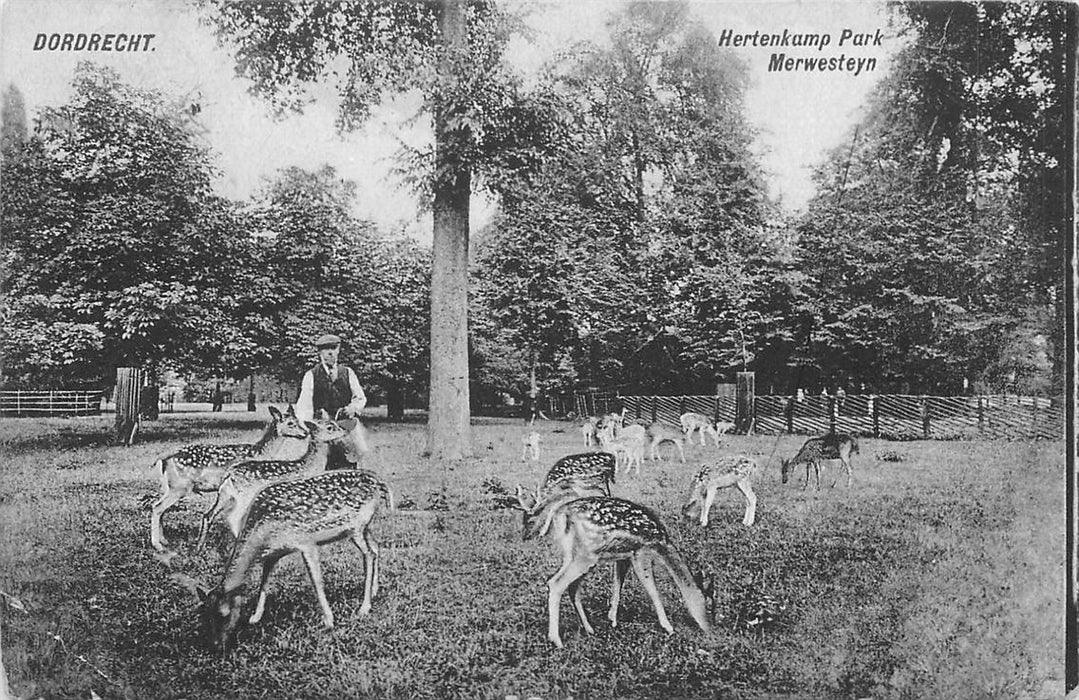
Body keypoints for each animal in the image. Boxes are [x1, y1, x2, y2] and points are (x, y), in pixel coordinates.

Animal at [148, 403, 308, 552]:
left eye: (298, 420)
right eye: (291, 423)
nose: (305, 433)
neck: (260, 453)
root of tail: (163, 459)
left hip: (169, 487)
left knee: (160, 508)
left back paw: (164, 541)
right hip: (180, 487)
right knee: (157, 507)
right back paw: (158, 545)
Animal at [190, 414, 366, 552]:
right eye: (330, 427)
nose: (345, 431)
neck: (307, 466)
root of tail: (229, 474)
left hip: (225, 495)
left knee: (209, 515)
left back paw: (199, 548)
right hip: (243, 497)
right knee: (233, 519)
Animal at [190, 465, 397, 651]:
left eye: (224, 614)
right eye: (204, 615)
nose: (216, 646)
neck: (264, 533)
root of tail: (379, 482)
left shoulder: (305, 542)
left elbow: (316, 581)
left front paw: (329, 621)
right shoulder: (274, 552)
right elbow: (264, 581)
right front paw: (255, 617)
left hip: (356, 526)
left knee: (368, 554)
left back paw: (364, 607)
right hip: (364, 528)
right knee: (375, 547)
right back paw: (375, 591)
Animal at [509, 489, 712, 647]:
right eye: (710, 606)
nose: (710, 629)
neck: (662, 543)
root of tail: (560, 514)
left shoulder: (624, 557)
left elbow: (617, 585)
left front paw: (612, 619)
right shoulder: (641, 552)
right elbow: (652, 590)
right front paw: (668, 627)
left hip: (573, 554)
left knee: (571, 586)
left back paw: (589, 628)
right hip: (587, 555)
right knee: (556, 583)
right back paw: (557, 640)